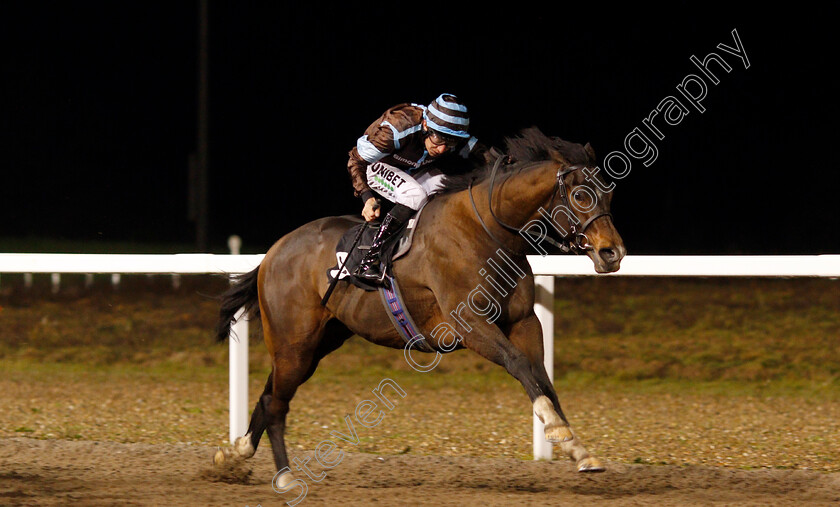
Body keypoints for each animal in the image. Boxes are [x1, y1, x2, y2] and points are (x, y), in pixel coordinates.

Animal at [213, 127, 628, 484]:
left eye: (609, 194)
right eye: (580, 195)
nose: (613, 253)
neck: (485, 231)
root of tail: (274, 251)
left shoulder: (524, 321)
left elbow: (542, 376)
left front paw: (579, 449)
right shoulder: (470, 324)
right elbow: (519, 365)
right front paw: (558, 429)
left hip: (318, 342)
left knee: (270, 394)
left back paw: (235, 453)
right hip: (293, 341)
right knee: (277, 403)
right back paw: (283, 476)